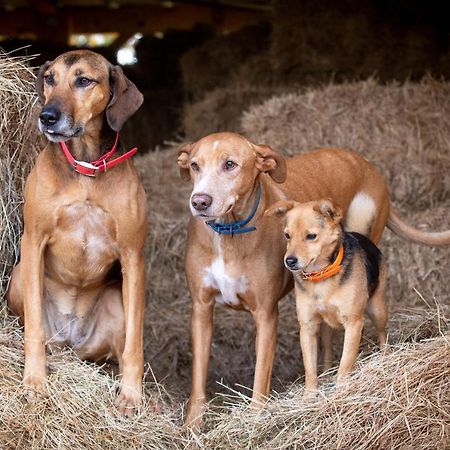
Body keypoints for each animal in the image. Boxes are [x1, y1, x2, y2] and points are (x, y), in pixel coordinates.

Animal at [6, 49, 147, 414]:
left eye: (84, 81)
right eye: (50, 78)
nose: (47, 116)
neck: (85, 167)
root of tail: (71, 340)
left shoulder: (133, 256)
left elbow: (135, 343)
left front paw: (131, 395)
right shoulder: (33, 241)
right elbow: (33, 332)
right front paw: (34, 382)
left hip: (116, 300)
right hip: (19, 276)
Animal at [268, 199, 386, 396]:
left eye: (311, 236)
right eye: (287, 236)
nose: (289, 261)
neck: (320, 276)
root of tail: (362, 237)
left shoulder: (353, 323)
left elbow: (345, 362)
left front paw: (342, 389)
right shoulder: (307, 327)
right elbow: (309, 368)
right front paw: (309, 395)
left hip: (378, 311)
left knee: (383, 334)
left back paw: (386, 354)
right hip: (326, 329)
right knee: (329, 349)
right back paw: (327, 371)